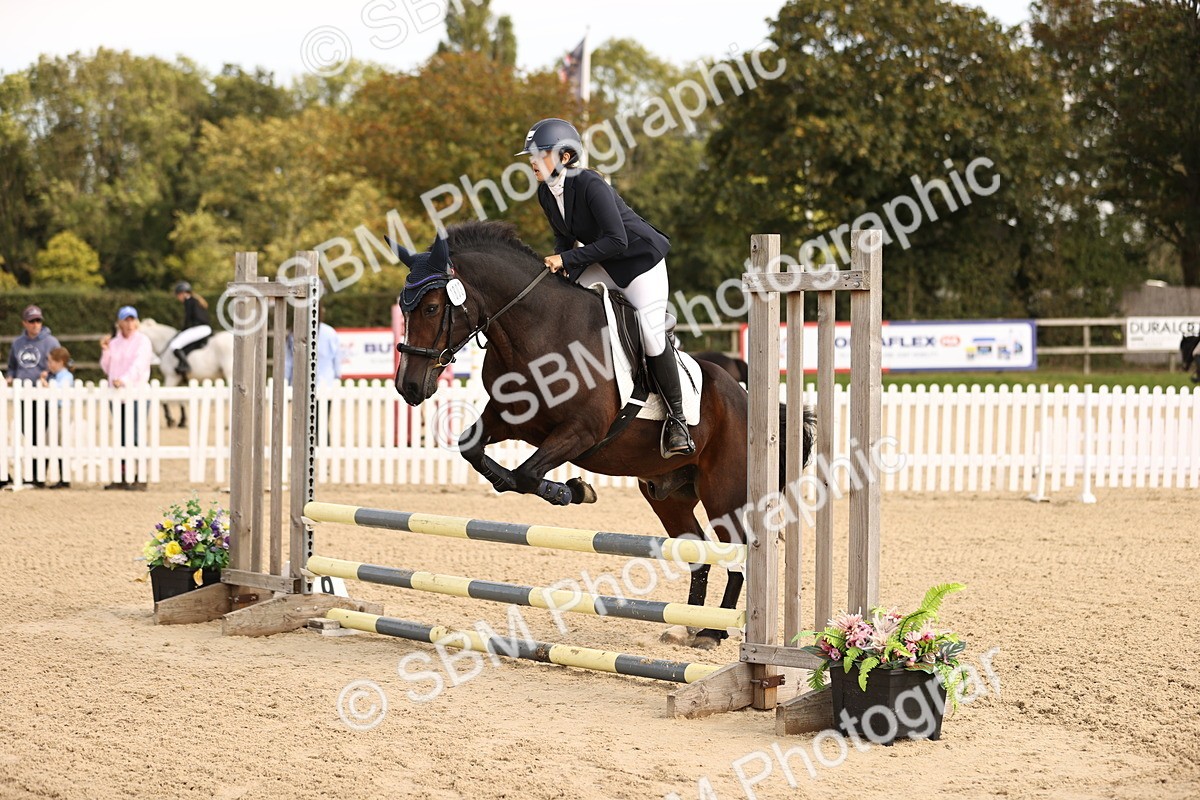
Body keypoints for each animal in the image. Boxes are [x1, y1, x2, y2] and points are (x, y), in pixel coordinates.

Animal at [393, 221, 813, 649]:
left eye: (431, 308)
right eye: (403, 308)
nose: (407, 387)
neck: (536, 330)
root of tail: (747, 400)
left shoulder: (582, 431)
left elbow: (525, 474)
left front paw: (571, 491)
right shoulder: (509, 420)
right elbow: (476, 452)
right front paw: (573, 490)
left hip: (723, 494)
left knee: (737, 549)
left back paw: (713, 631)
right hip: (668, 495)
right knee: (698, 551)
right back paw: (686, 625)